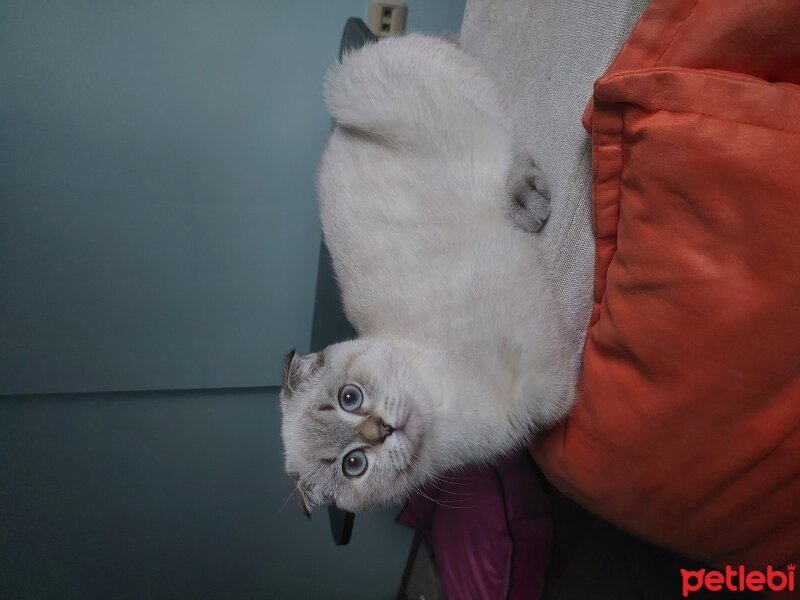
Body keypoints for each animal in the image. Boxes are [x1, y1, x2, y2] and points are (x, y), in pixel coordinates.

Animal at [280, 34, 576, 516]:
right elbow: (552, 412)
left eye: (349, 397)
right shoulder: (530, 405)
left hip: (356, 88)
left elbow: (568, 393)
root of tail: (336, 131)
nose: (381, 430)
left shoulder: (539, 348)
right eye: (354, 464)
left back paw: (529, 202)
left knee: (504, 134)